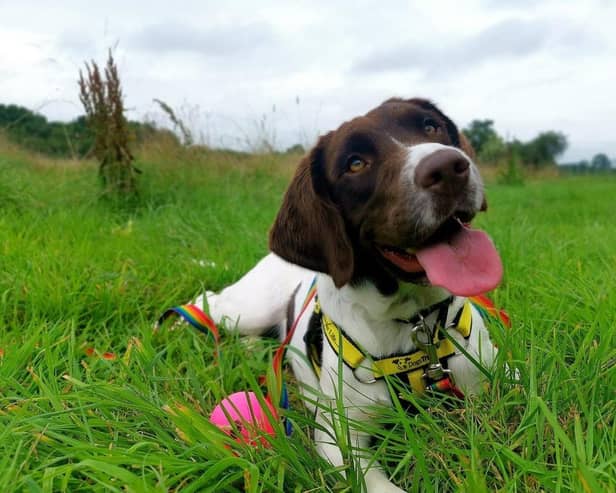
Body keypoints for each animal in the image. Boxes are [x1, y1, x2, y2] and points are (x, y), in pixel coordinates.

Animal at [195, 97, 502, 492]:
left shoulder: (492, 376)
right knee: (208, 301)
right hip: (245, 308)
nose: (449, 167)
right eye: (355, 164)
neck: (415, 325)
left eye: (431, 126)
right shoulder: (339, 435)